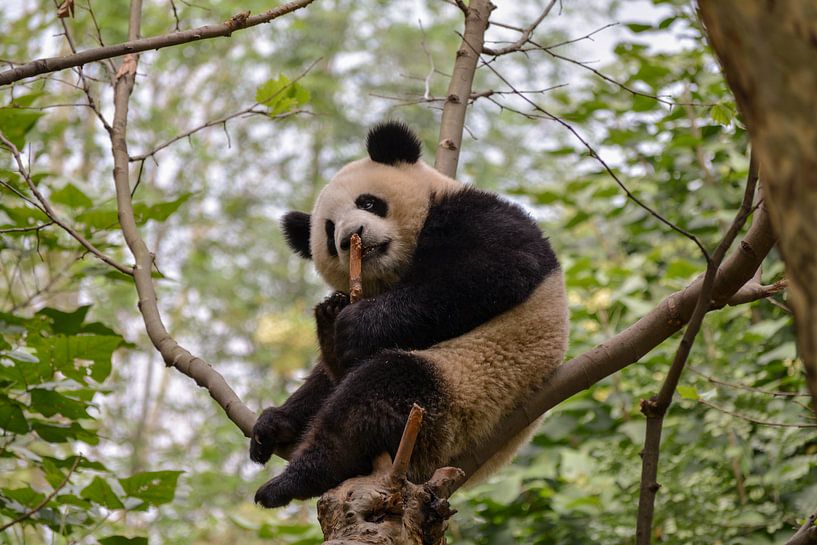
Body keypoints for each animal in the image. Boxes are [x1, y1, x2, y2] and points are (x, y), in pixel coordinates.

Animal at [250, 121, 568, 508]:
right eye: (328, 231)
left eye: (367, 202)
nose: (350, 237)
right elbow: (324, 379)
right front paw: (273, 425)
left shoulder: (477, 214)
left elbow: (492, 269)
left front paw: (356, 323)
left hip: (466, 398)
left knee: (380, 390)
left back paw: (295, 480)